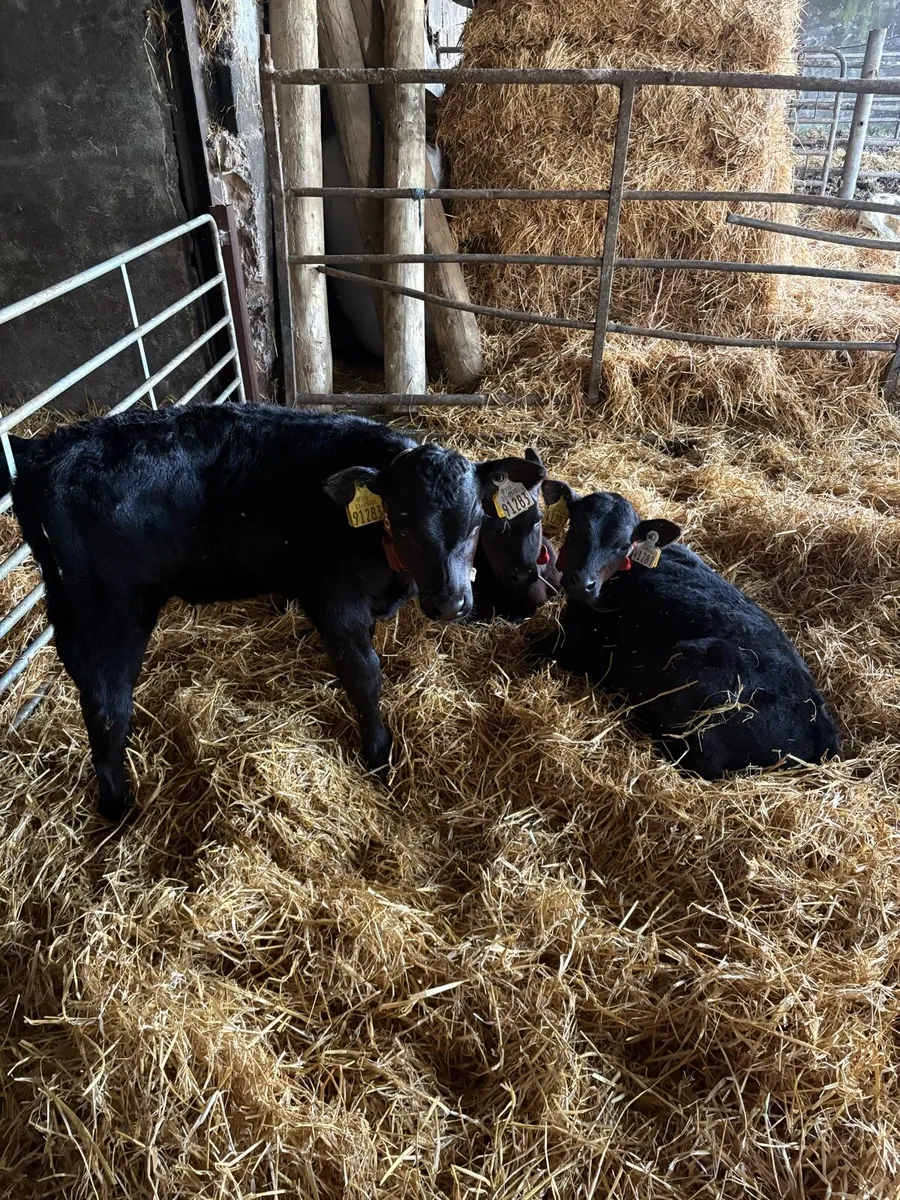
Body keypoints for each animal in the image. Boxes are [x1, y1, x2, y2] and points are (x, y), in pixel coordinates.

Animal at [1, 403, 544, 819]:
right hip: (108, 611)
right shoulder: (333, 599)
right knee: (106, 703)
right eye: (404, 521)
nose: (451, 601)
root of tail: (46, 450)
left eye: (475, 522)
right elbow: (364, 673)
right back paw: (118, 809)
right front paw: (378, 754)